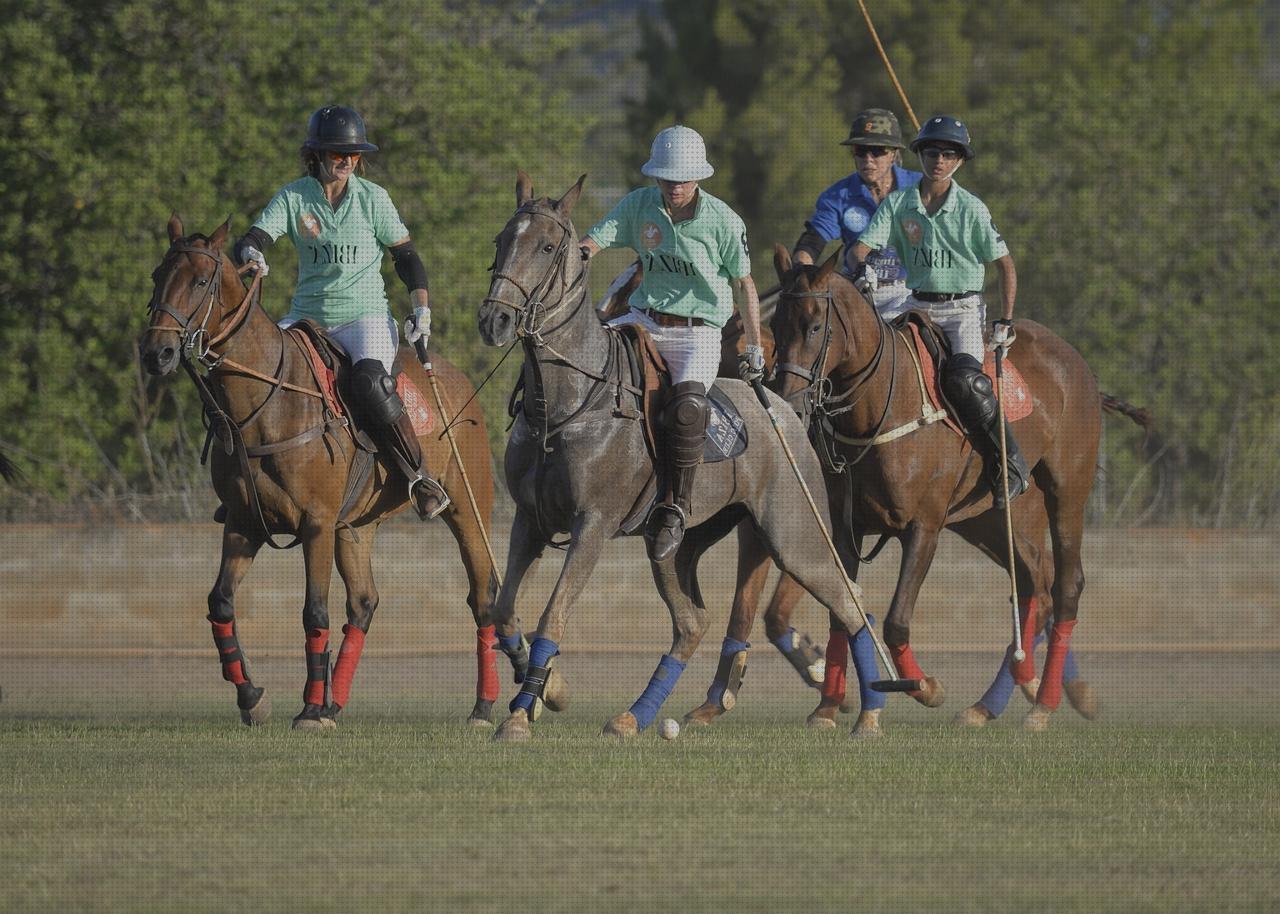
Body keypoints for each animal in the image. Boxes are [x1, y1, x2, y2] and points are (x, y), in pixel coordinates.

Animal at [138, 213, 499, 727]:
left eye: (202, 280)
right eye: (157, 276)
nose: (156, 353)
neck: (264, 405)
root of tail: (453, 376)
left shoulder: (316, 522)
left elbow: (314, 612)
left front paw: (307, 709)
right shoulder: (245, 522)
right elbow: (220, 602)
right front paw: (253, 697)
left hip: (468, 505)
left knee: (482, 594)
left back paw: (483, 707)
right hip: (355, 527)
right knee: (364, 602)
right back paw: (335, 702)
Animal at [478, 172, 880, 742]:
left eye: (549, 247)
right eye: (501, 241)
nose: (494, 319)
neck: (565, 403)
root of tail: (781, 404)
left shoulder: (592, 524)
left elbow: (551, 615)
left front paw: (520, 714)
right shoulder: (529, 522)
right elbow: (505, 609)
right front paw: (550, 691)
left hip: (795, 534)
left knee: (851, 603)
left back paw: (868, 716)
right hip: (675, 545)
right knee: (692, 623)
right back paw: (634, 716)